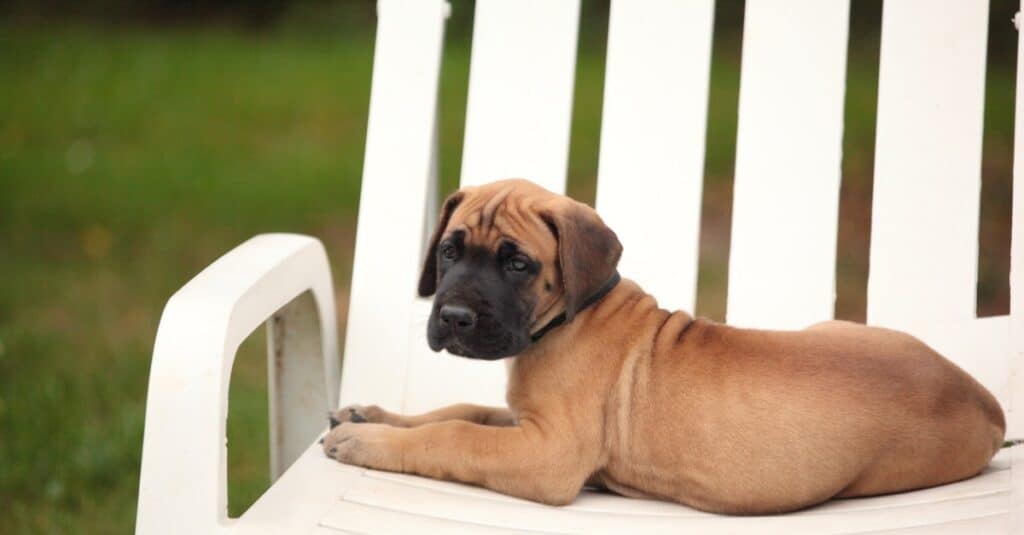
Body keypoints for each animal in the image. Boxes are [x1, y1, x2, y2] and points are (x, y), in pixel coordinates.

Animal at [321, 177, 1007, 510]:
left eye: (517, 264)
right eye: (448, 251)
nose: (454, 316)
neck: (567, 319)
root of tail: (988, 403)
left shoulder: (548, 453)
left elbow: (455, 435)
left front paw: (367, 440)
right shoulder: (526, 421)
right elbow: (459, 410)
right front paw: (370, 415)